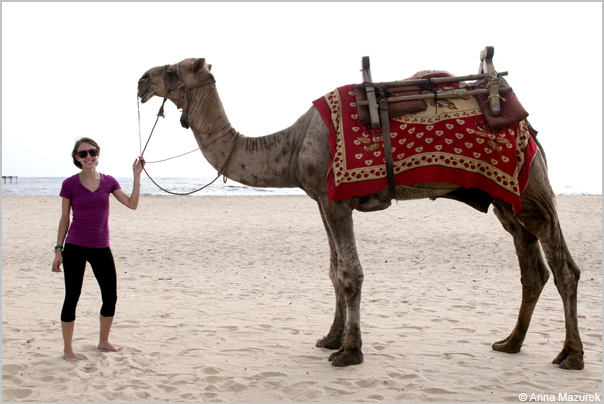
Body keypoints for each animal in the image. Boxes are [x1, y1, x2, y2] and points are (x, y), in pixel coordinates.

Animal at [138, 58, 584, 370]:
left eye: (173, 70)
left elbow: (351, 274)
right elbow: (334, 272)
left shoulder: (337, 200)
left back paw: (571, 355)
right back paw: (510, 343)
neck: (292, 144)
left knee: (564, 267)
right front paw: (331, 339)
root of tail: (531, 131)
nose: (141, 81)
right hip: (507, 201)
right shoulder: (322, 199)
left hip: (534, 187)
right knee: (532, 269)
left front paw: (350, 352)